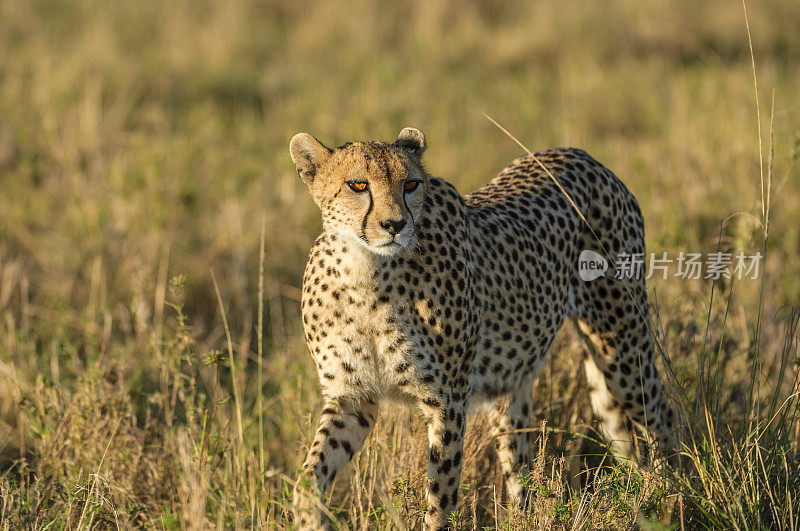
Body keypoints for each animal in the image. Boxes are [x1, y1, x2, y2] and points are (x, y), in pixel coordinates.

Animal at [288, 128, 676, 528]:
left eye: (411, 184)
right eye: (358, 185)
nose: (395, 225)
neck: (366, 273)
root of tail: (581, 155)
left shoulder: (447, 401)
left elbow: (440, 498)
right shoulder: (352, 399)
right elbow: (309, 475)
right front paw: (307, 516)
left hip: (622, 349)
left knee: (660, 417)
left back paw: (665, 497)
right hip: (515, 384)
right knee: (523, 466)